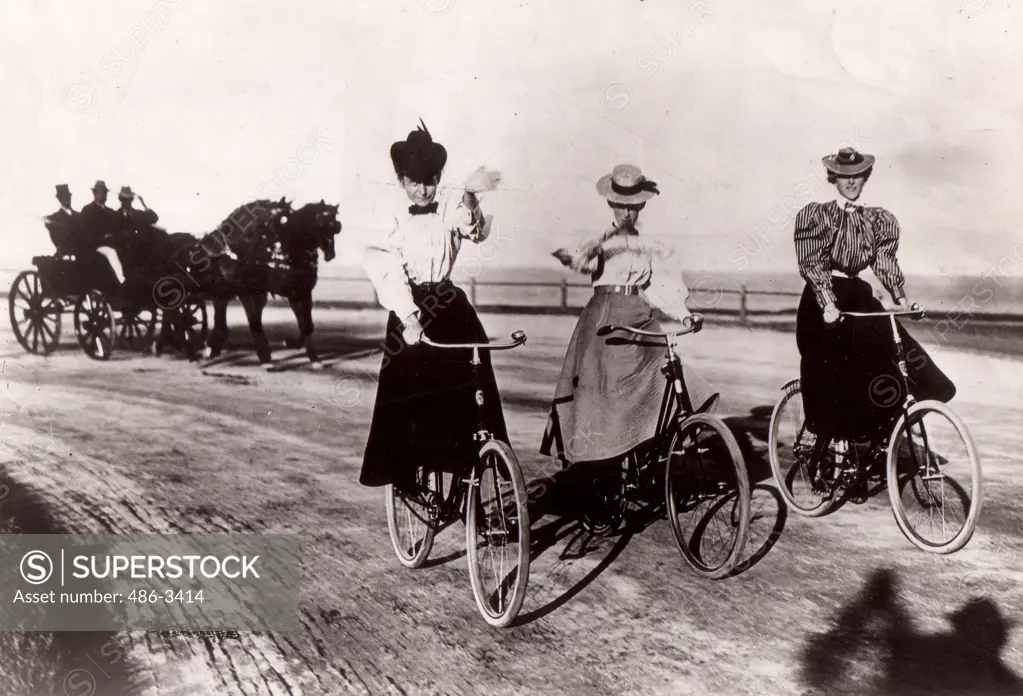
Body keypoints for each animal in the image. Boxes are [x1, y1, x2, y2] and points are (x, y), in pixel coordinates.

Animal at [182, 197, 341, 366]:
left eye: (335, 227)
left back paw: (215, 344)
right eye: (322, 225)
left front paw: (310, 354)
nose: (330, 254)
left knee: (222, 308)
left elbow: (307, 325)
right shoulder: (247, 291)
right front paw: (266, 355)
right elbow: (255, 321)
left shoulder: (299, 292)